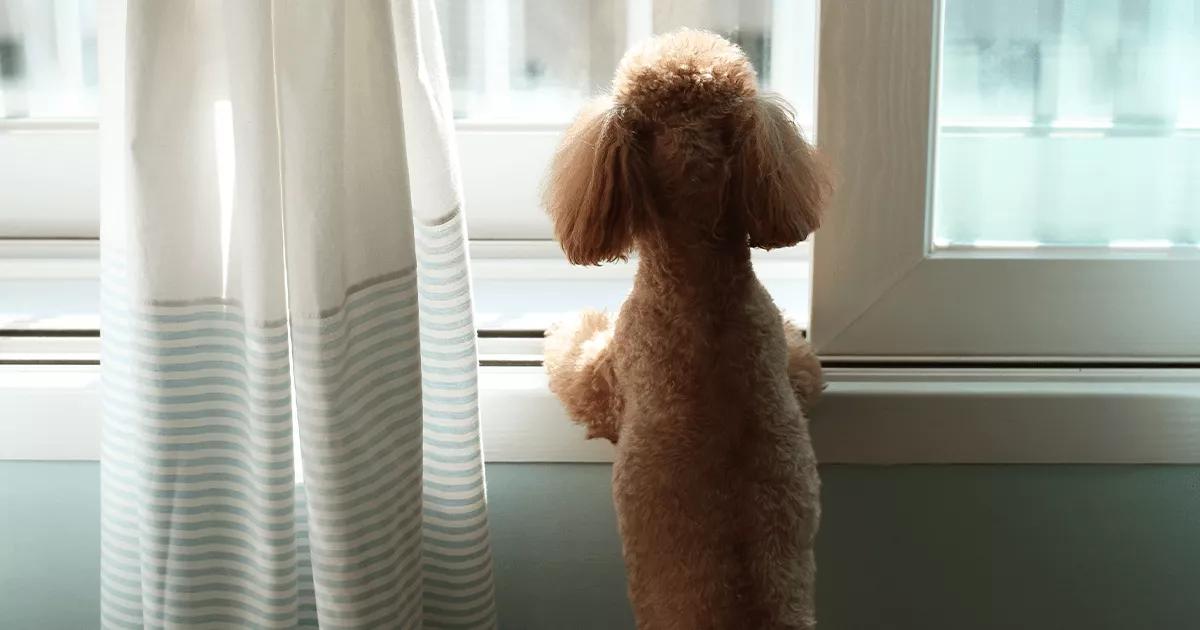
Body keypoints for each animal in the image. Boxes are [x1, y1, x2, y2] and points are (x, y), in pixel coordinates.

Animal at [547, 27, 835, 624]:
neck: (700, 286)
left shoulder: (608, 376)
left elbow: (575, 365)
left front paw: (567, 329)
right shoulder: (786, 364)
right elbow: (805, 369)